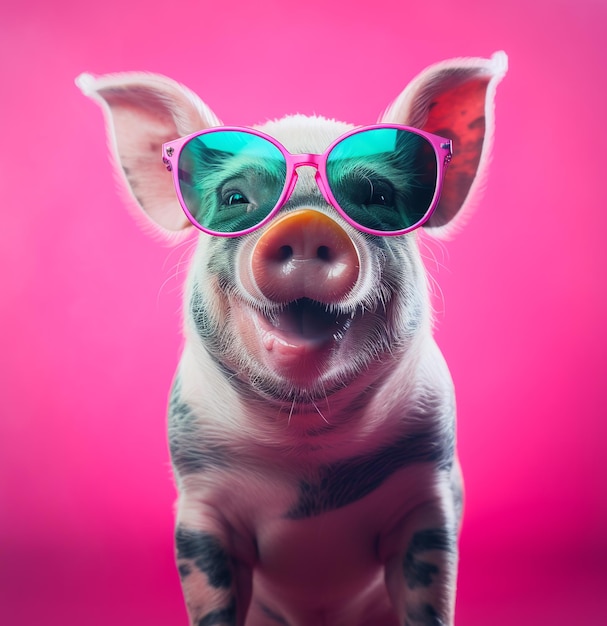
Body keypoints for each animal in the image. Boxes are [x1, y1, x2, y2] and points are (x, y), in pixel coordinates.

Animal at [79, 50, 508, 624]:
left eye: (377, 195)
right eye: (235, 197)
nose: (306, 224)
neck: (307, 455)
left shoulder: (428, 495)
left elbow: (426, 599)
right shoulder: (199, 504)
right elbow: (211, 599)